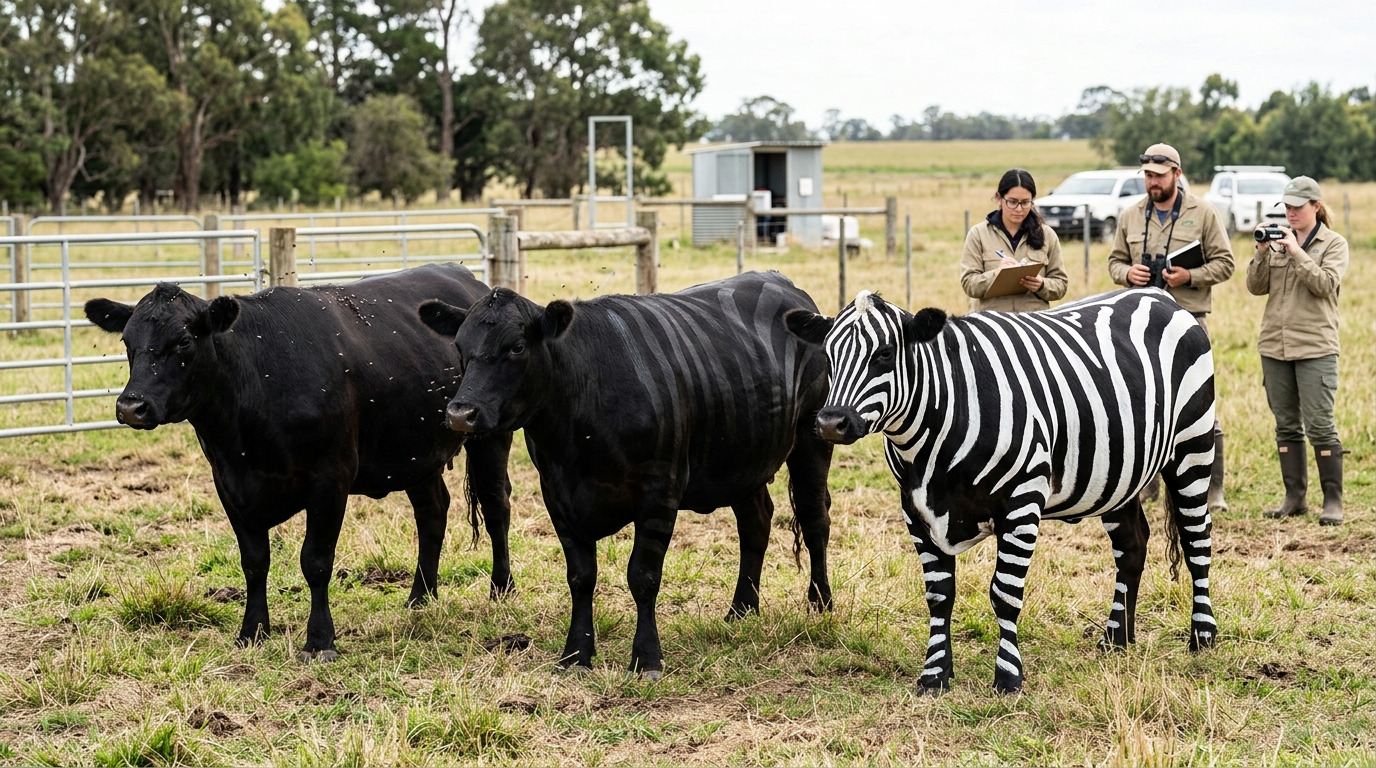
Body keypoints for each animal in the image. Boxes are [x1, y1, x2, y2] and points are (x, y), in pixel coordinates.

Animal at [84, 264, 515, 660]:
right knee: (432, 513)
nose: (132, 406)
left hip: (489, 436)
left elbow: (316, 561)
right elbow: (254, 562)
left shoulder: (330, 478)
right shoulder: (227, 482)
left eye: (184, 341)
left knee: (496, 506)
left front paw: (320, 641)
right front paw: (252, 632)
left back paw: (501, 588)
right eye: (127, 340)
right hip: (415, 453)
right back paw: (420, 597)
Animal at [417, 271, 834, 678]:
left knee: (814, 519)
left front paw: (647, 659)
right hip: (742, 461)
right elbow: (580, 576)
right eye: (459, 346)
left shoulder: (660, 490)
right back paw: (742, 609)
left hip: (812, 439)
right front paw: (576, 655)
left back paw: (821, 604)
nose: (461, 414)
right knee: (756, 523)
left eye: (517, 347)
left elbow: (643, 576)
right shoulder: (556, 493)